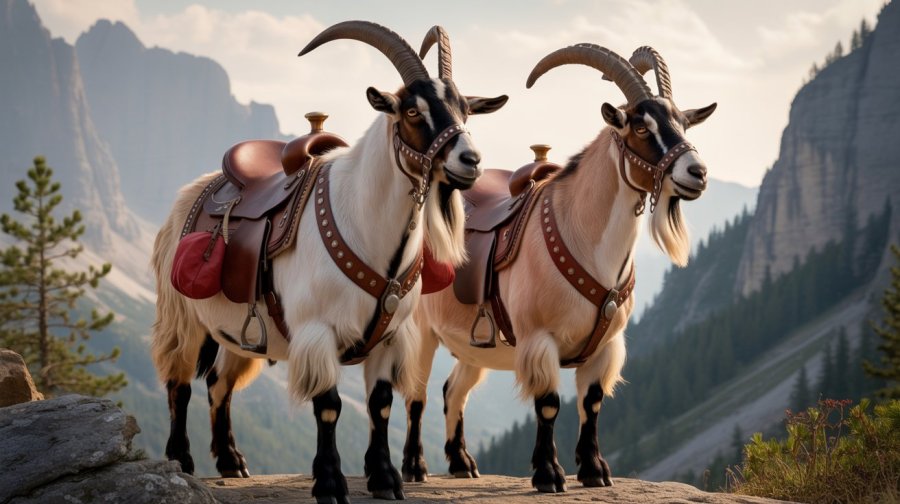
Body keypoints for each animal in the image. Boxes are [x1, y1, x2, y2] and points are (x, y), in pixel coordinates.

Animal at [150, 21, 507, 502]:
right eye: (412, 112)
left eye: (465, 110)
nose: (471, 161)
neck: (366, 229)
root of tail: (191, 192)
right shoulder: (317, 331)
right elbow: (329, 407)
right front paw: (331, 483)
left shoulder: (390, 336)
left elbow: (380, 405)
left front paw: (385, 480)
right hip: (182, 316)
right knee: (180, 383)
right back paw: (180, 461)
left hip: (237, 331)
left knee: (217, 384)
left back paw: (231, 461)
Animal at [402, 43, 716, 492]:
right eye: (641, 128)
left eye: (685, 124)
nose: (698, 173)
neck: (584, 242)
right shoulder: (540, 338)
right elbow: (549, 404)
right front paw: (548, 474)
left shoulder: (606, 346)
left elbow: (592, 402)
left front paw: (595, 471)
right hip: (421, 330)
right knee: (417, 392)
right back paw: (414, 467)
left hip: (472, 346)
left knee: (453, 391)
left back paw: (462, 463)